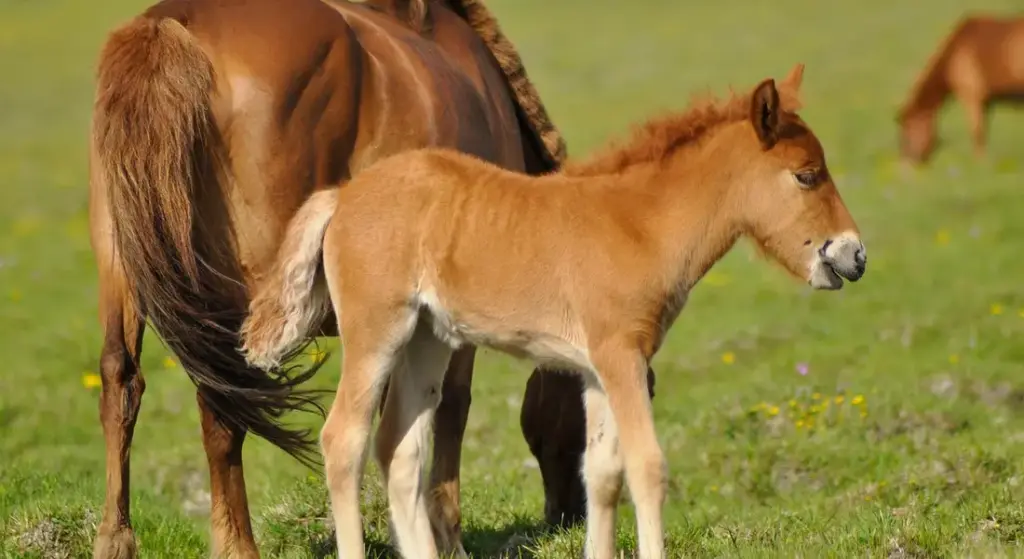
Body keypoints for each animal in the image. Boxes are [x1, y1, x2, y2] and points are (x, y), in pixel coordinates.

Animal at [87, 0, 579, 556]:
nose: (567, 516)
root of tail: (174, 23)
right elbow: (448, 409)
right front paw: (445, 535)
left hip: (125, 265)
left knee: (122, 381)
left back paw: (115, 538)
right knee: (222, 409)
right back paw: (237, 545)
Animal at [239, 62, 869, 558]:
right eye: (807, 175)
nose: (854, 254)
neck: (638, 223)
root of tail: (342, 195)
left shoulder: (595, 371)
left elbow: (603, 474)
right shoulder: (622, 357)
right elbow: (647, 467)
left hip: (427, 340)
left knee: (398, 447)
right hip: (377, 332)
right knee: (343, 440)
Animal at [897, 15, 1024, 164]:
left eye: (905, 136)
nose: (906, 162)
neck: (956, 51)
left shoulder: (971, 97)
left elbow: (976, 132)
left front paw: (979, 163)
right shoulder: (986, 102)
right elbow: (983, 132)